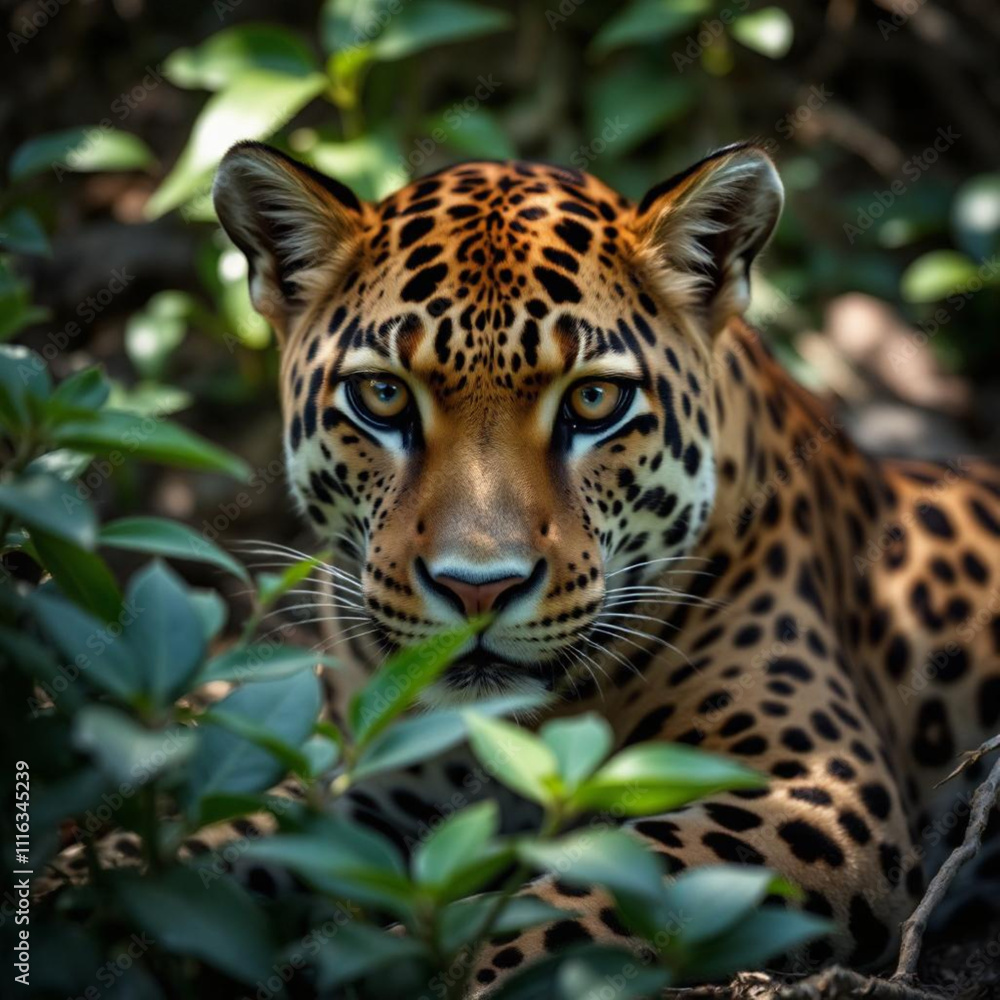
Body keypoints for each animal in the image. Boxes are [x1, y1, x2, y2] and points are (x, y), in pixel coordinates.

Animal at [214, 140, 1000, 993]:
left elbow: (581, 893)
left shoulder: (826, 797)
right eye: (382, 396)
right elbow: (236, 822)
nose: (477, 590)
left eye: (594, 402)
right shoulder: (357, 761)